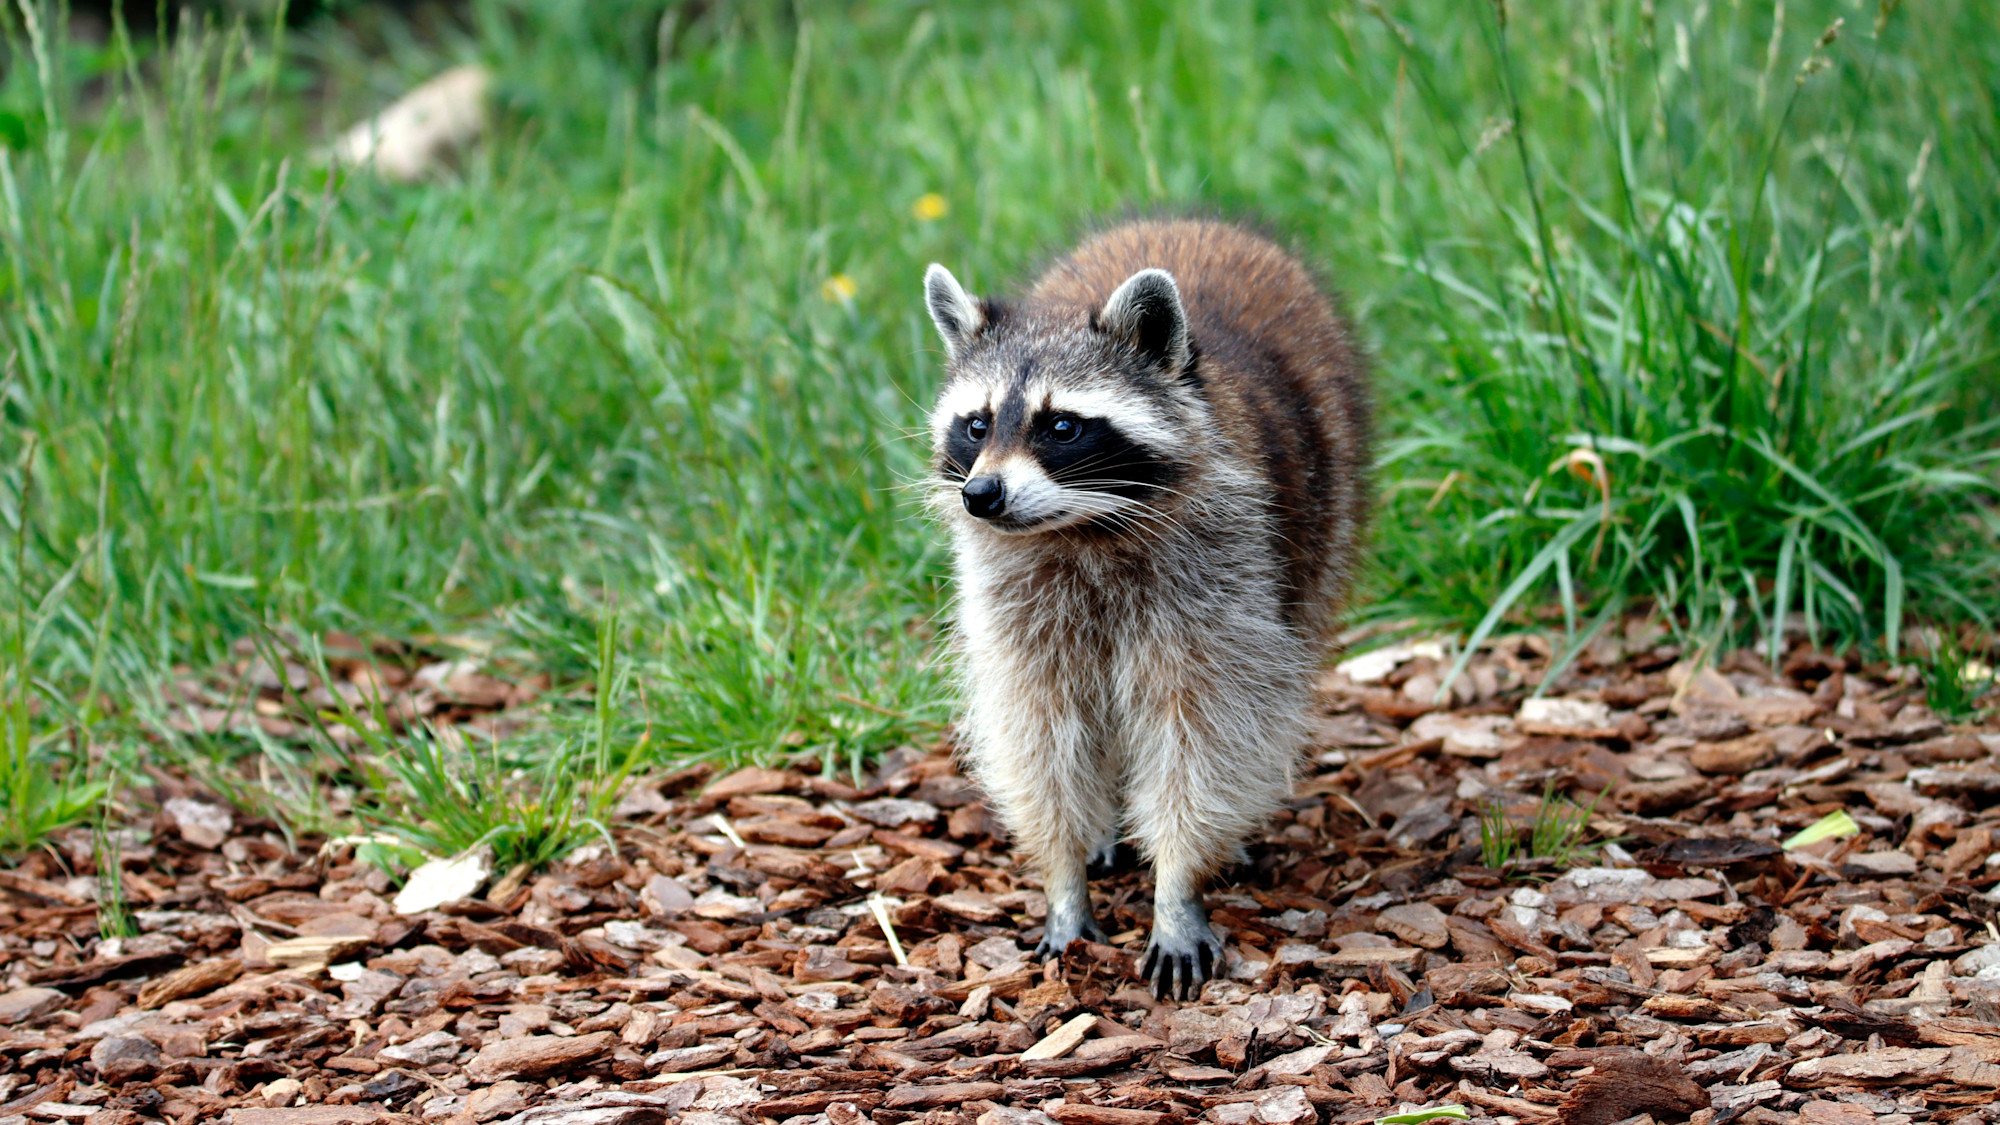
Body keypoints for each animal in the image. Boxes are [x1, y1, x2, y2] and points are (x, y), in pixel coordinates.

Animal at [921, 219, 1371, 999]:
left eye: (1061, 427)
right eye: (976, 425)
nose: (981, 495)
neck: (1080, 529)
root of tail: (1193, 221)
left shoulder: (1224, 578)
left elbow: (1206, 733)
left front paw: (1177, 885)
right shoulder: (1014, 600)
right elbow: (1036, 734)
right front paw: (1063, 876)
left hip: (1322, 516)